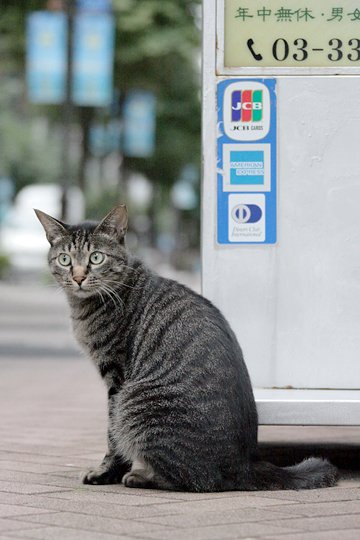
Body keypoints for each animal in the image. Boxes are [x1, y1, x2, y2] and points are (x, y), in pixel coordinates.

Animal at [34, 205, 338, 492]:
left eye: (96, 257)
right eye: (65, 259)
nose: (78, 277)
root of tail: (246, 464)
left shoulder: (115, 378)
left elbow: (112, 435)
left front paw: (106, 473)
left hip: (134, 401)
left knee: (197, 480)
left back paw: (142, 476)